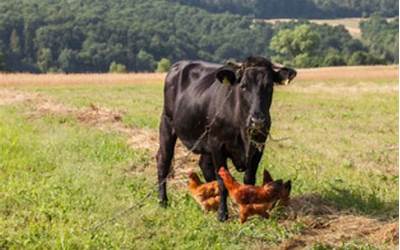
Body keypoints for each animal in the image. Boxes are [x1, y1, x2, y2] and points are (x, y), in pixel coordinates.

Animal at [157, 56, 296, 221]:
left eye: (269, 86)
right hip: (167, 123)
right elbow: (222, 182)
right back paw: (163, 200)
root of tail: (179, 65)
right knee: (163, 160)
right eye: (243, 86)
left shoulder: (258, 146)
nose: (257, 121)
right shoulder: (218, 145)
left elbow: (249, 179)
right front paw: (222, 214)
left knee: (204, 165)